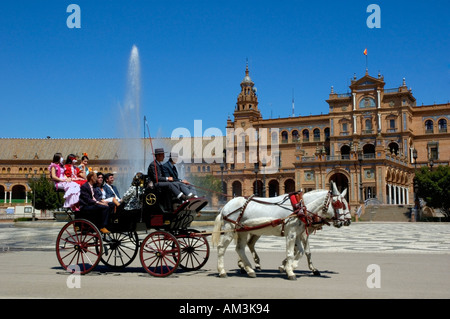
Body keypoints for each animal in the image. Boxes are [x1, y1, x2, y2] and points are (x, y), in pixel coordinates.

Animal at [212, 182, 352, 280]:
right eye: (339, 204)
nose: (347, 221)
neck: (300, 207)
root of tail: (225, 207)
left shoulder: (298, 234)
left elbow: (301, 251)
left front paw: (289, 266)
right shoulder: (292, 234)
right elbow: (294, 253)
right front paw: (290, 271)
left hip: (243, 231)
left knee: (241, 248)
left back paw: (249, 269)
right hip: (230, 229)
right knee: (221, 248)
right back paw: (222, 271)